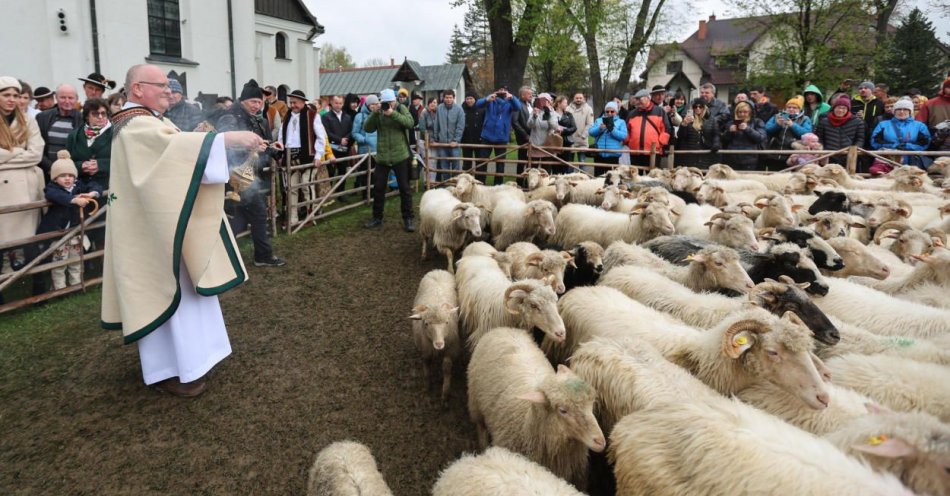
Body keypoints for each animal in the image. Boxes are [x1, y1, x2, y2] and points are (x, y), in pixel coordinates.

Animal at [410, 270, 462, 404]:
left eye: (447, 322)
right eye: (426, 323)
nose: (439, 344)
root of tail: (438, 270)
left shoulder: (450, 350)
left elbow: (446, 369)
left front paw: (445, 395)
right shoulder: (425, 351)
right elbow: (426, 371)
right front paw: (427, 388)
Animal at [466, 328, 604, 490]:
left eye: (591, 404)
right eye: (563, 410)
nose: (600, 441)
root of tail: (503, 329)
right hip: (476, 403)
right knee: (480, 426)